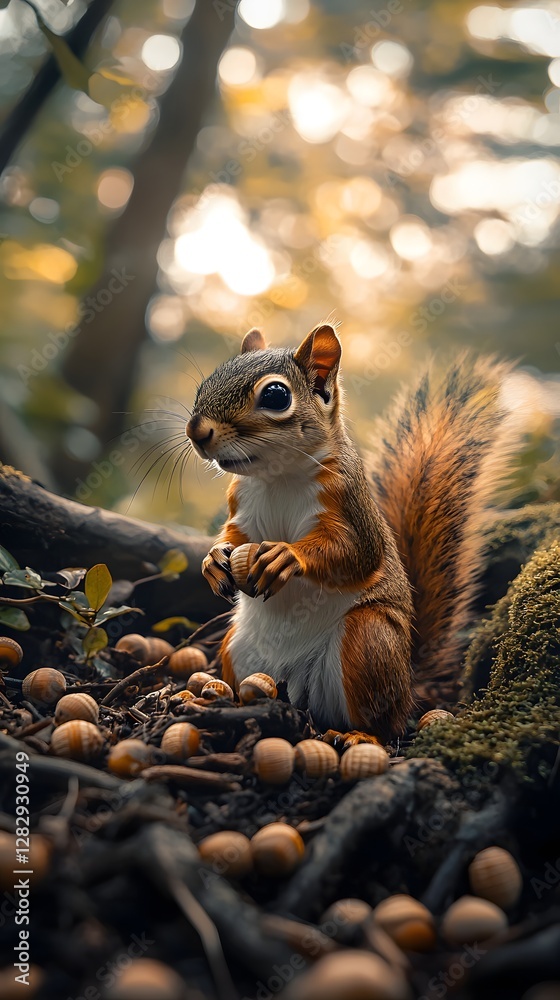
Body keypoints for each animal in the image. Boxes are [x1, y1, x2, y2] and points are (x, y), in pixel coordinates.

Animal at [186, 324, 515, 745]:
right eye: (207, 382)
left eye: (275, 395)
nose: (196, 431)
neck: (278, 477)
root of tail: (408, 684)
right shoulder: (241, 507)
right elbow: (231, 534)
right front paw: (213, 560)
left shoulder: (350, 504)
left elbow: (357, 553)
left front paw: (286, 555)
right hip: (236, 649)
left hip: (369, 642)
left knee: (382, 723)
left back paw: (361, 736)